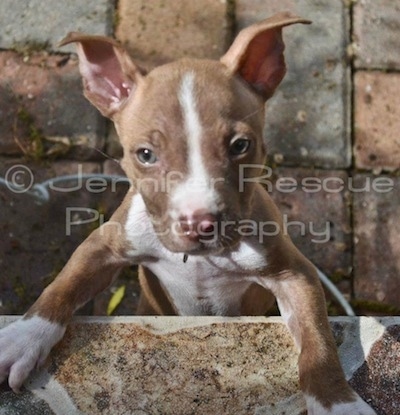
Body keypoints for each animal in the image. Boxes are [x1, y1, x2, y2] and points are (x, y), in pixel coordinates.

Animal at [0, 11, 376, 414]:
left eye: (240, 146)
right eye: (145, 154)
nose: (201, 223)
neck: (200, 260)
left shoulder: (295, 272)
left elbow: (317, 339)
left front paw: (338, 403)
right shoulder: (104, 245)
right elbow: (63, 285)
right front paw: (23, 337)